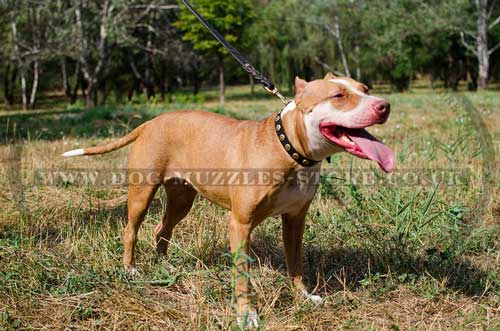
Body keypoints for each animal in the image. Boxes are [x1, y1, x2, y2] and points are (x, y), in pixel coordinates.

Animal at [63, 73, 394, 330]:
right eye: (338, 95)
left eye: (365, 88)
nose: (384, 105)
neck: (289, 149)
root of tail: (150, 122)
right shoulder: (240, 224)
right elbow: (242, 277)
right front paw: (247, 316)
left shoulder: (295, 221)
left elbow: (296, 263)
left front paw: (303, 295)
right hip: (142, 193)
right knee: (131, 230)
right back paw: (131, 269)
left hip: (182, 199)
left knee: (162, 229)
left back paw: (166, 266)